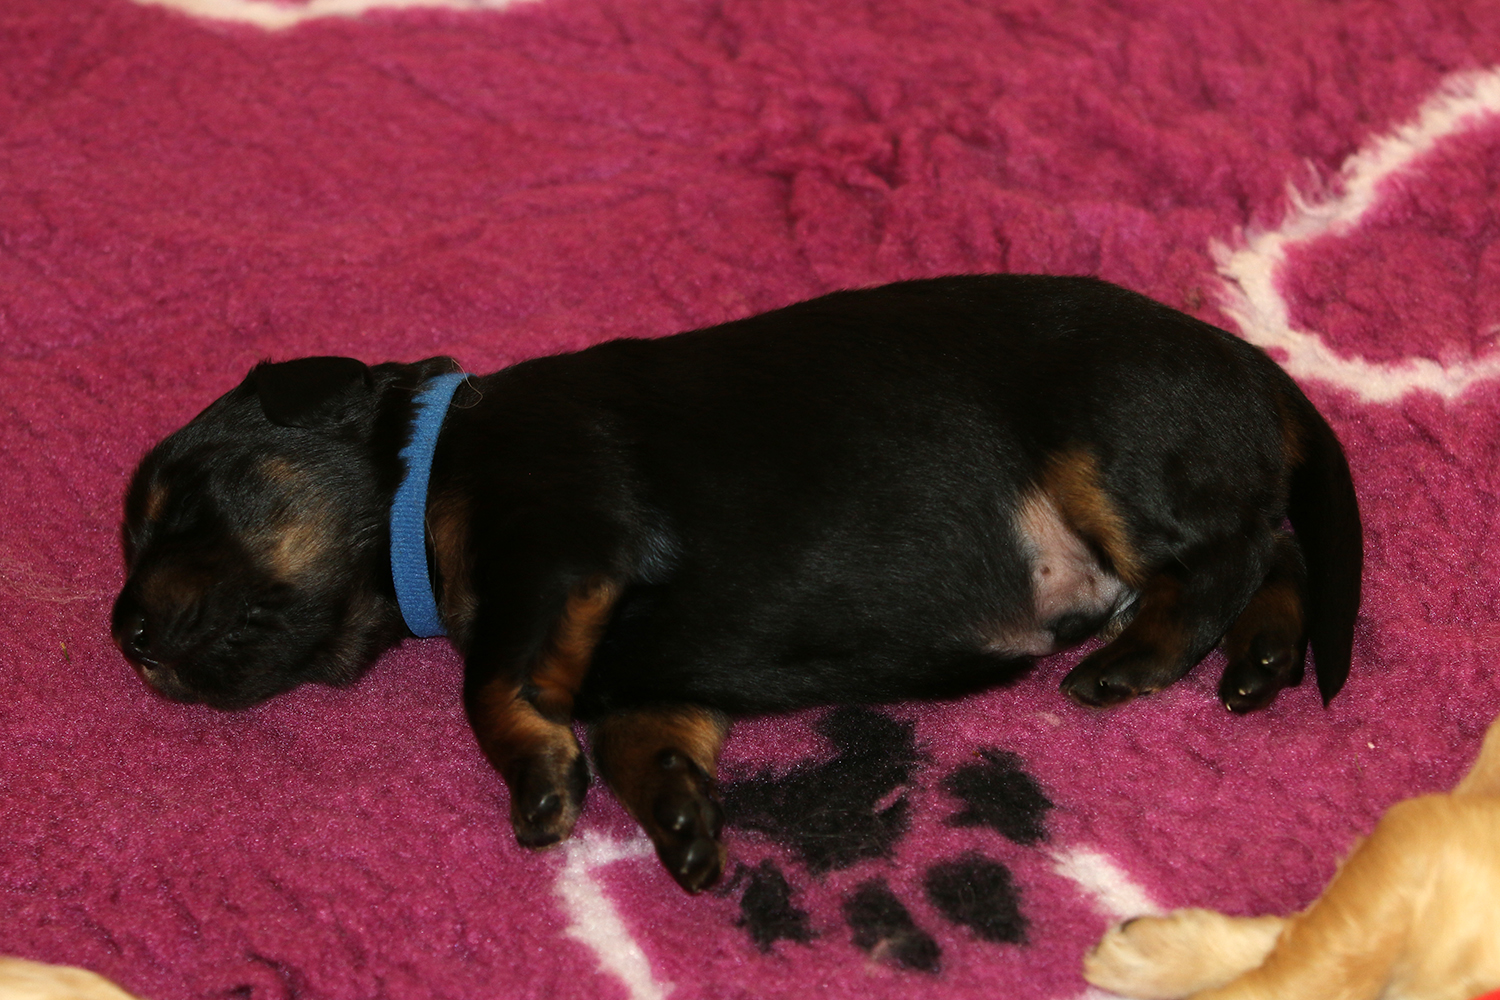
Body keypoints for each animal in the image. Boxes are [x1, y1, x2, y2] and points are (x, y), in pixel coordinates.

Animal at [111, 274, 1363, 893]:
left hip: (1107, 436)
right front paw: (676, 817)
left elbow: (486, 684)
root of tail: (1252, 362)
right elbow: (639, 734)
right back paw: (1259, 659)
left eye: (180, 503)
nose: (123, 631)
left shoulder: (562, 541)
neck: (431, 472)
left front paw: (539, 783)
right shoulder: (645, 668)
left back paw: (1135, 659)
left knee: (1226, 553)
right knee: (1274, 546)